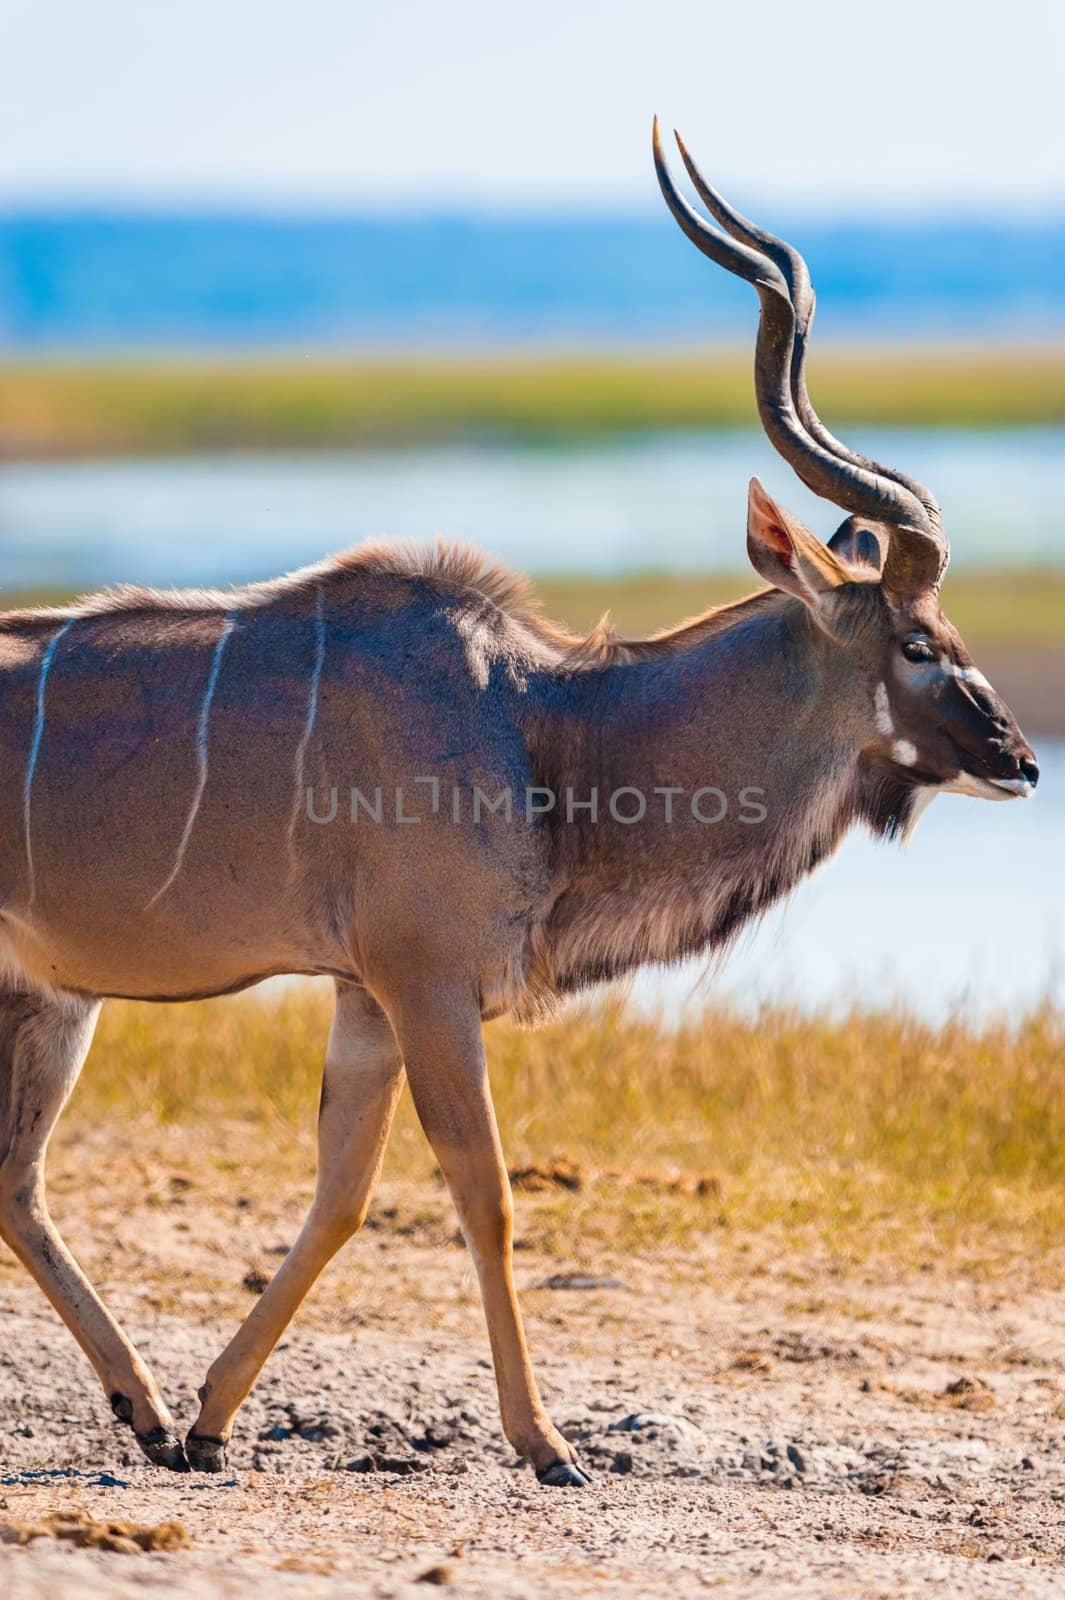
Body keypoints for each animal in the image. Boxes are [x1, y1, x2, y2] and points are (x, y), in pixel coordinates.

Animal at [0, 128, 1029, 1484]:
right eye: (918, 641)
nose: (1021, 757)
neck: (542, 725)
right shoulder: (427, 982)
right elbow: (481, 1192)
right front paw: (547, 1442)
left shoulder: (367, 994)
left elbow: (341, 1195)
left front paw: (211, 1420)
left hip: (51, 996)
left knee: (16, 1179)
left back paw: (148, 1407)